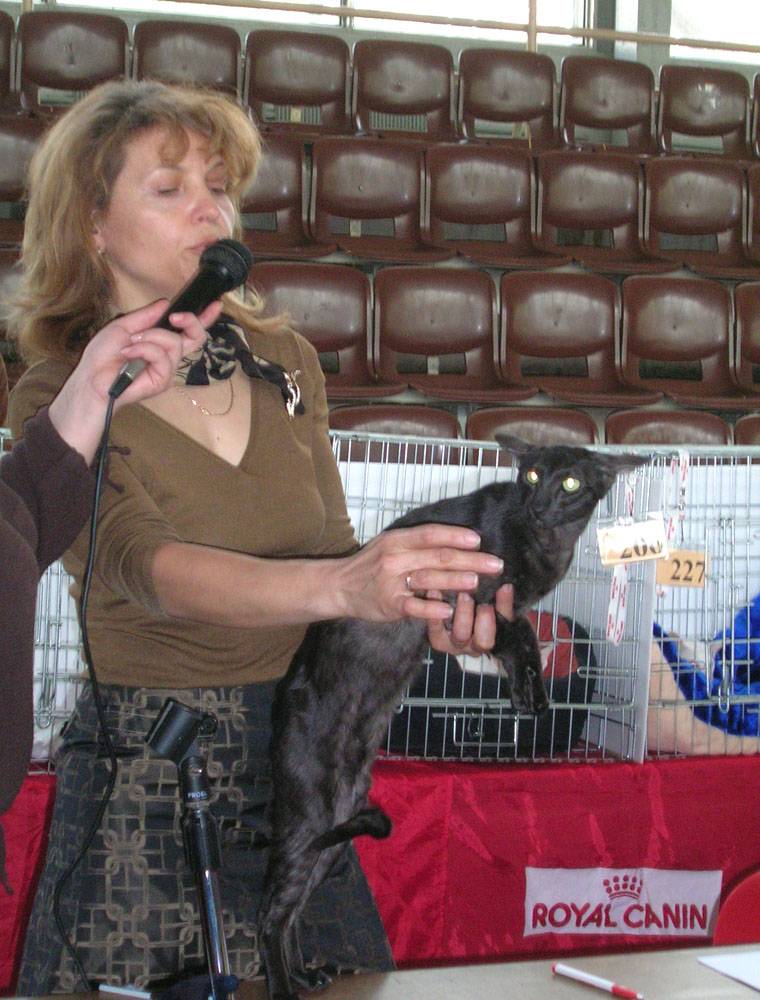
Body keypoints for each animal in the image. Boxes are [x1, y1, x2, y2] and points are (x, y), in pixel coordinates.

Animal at [257, 434, 645, 1000]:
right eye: (531, 476)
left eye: (571, 482)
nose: (538, 503)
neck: (548, 542)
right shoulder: (471, 595)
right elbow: (516, 638)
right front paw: (532, 696)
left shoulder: (502, 607)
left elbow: (516, 641)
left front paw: (527, 694)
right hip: (309, 812)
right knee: (269, 912)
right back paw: (285, 986)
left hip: (339, 818)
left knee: (292, 909)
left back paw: (306, 975)